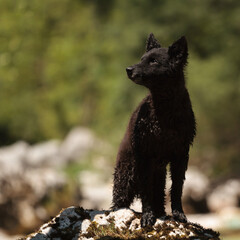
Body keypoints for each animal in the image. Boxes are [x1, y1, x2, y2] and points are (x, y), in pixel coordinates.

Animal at [111, 33, 196, 227]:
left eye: (154, 61)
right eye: (142, 59)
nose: (128, 69)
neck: (165, 111)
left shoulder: (181, 154)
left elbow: (177, 188)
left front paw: (179, 214)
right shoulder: (145, 155)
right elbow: (146, 193)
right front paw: (147, 217)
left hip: (159, 174)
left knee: (159, 197)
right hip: (126, 175)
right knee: (119, 201)